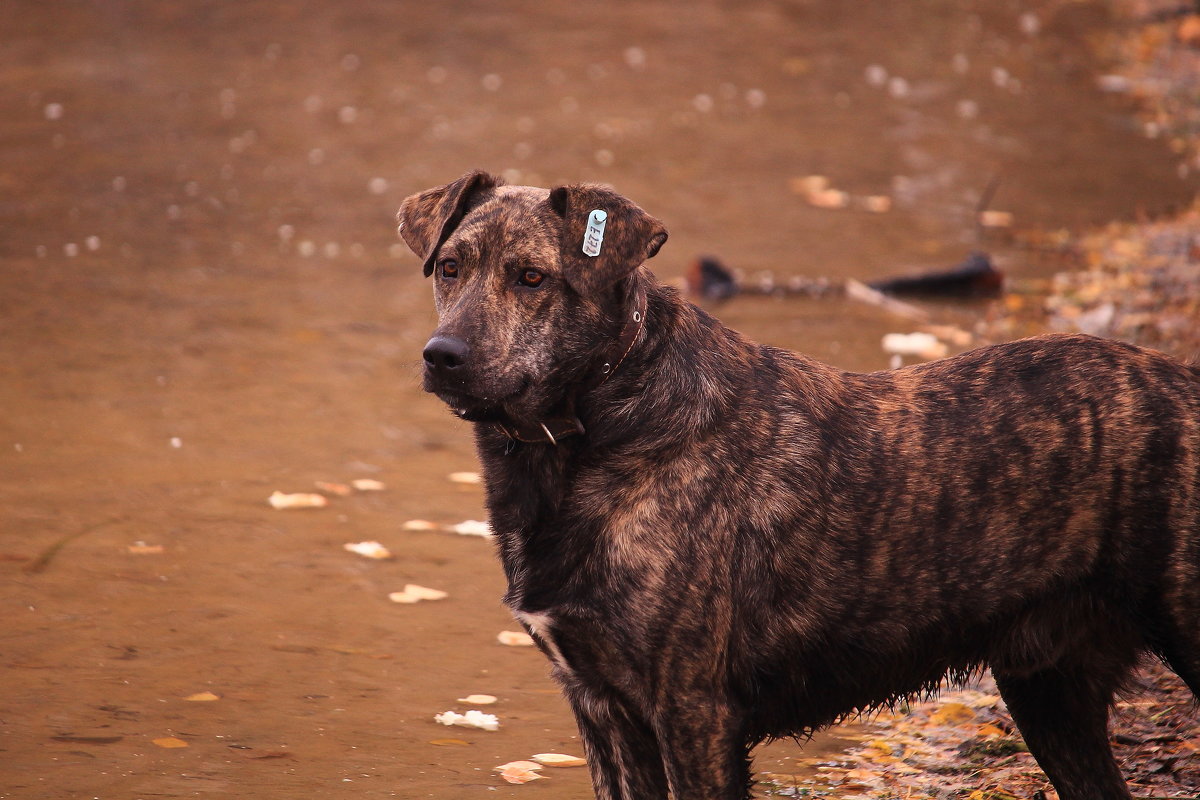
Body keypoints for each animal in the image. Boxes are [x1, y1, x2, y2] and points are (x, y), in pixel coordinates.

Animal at [400, 170, 1200, 800]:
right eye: (449, 267)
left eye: (532, 278)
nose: (443, 356)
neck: (596, 425)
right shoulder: (603, 712)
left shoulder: (692, 713)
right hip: (1049, 688)